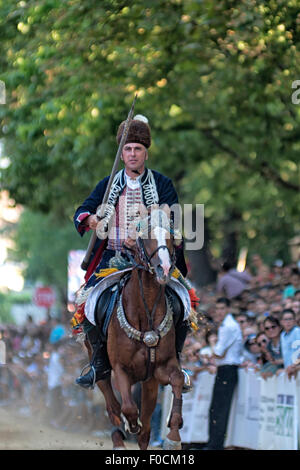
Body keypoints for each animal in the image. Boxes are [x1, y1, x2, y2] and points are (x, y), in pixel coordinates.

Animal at [92, 211, 185, 450]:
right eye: (145, 237)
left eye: (170, 236)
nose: (164, 268)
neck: (146, 312)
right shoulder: (120, 368)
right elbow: (128, 408)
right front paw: (130, 424)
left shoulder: (162, 368)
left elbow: (178, 379)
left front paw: (173, 435)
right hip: (100, 365)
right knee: (112, 405)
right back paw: (119, 435)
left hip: (149, 382)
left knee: (146, 430)